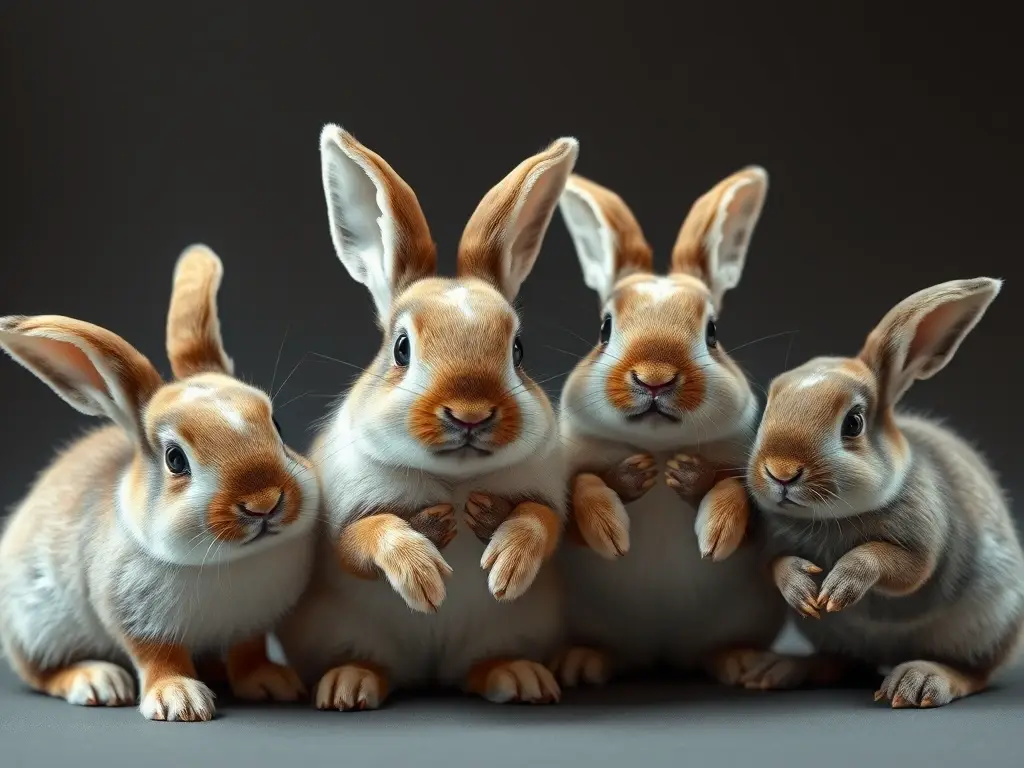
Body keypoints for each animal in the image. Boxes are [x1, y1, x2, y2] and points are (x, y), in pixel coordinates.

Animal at [0, 245, 321, 721]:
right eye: (175, 459)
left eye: (276, 425)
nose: (264, 502)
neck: (232, 561)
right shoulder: (134, 618)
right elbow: (158, 657)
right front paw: (179, 700)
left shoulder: (250, 624)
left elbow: (248, 651)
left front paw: (271, 683)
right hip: (34, 627)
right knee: (39, 672)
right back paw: (96, 681)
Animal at [274, 125, 577, 710]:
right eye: (401, 349)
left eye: (519, 351)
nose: (470, 413)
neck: (453, 481)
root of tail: (431, 672)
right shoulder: (343, 522)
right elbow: (367, 537)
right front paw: (425, 575)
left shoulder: (548, 497)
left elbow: (542, 523)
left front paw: (507, 565)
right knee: (374, 664)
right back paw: (349, 685)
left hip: (510, 631)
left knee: (479, 669)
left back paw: (520, 678)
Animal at [549, 168, 790, 688]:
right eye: (604, 328)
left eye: (713, 332)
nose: (654, 378)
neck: (658, 448)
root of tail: (660, 651)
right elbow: (584, 489)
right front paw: (613, 524)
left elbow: (736, 496)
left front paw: (714, 531)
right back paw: (582, 664)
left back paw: (740, 664)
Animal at [726, 276, 1024, 707]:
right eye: (768, 408)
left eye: (853, 423)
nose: (780, 471)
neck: (828, 518)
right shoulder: (768, 547)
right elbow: (775, 566)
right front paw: (802, 590)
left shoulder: (922, 540)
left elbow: (894, 564)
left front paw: (837, 587)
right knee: (840, 663)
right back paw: (776, 669)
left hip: (988, 625)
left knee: (975, 672)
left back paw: (919, 681)